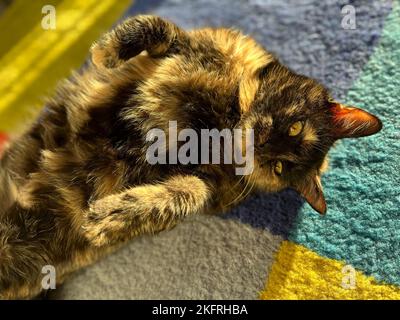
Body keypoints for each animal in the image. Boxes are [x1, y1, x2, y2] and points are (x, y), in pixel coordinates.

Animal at [0, 15, 382, 300]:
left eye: (278, 167)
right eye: (296, 128)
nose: (261, 145)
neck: (223, 121)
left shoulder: (206, 185)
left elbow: (185, 194)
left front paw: (112, 216)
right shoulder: (193, 46)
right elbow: (159, 27)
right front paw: (106, 53)